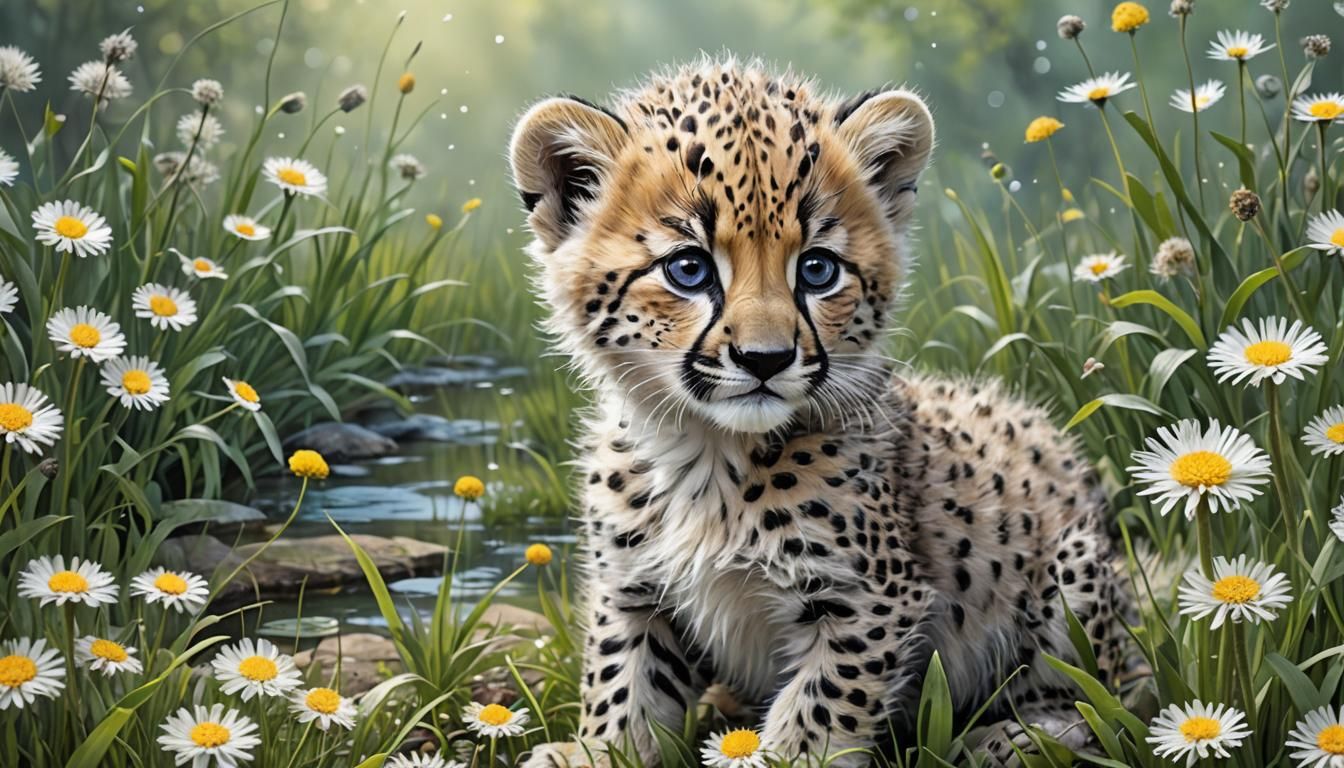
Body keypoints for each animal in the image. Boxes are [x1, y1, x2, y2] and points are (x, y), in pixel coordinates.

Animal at [506, 56, 1129, 767]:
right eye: (689, 269)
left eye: (817, 270)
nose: (765, 358)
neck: (706, 454)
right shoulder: (636, 590)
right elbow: (623, 680)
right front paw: (600, 750)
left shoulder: (868, 599)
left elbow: (822, 704)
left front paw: (786, 754)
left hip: (1073, 572)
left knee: (1095, 695)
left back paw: (1017, 735)